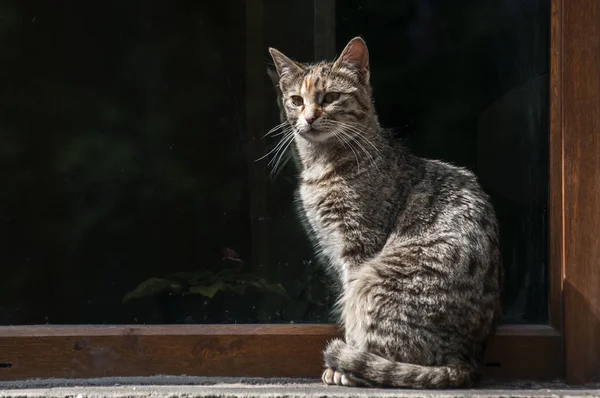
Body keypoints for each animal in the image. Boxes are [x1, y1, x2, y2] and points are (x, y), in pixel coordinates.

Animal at [266, 37, 502, 388]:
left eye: (330, 98)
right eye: (295, 100)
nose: (307, 118)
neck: (322, 165)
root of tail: (466, 360)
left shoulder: (358, 248)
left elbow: (350, 310)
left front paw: (344, 364)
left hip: (375, 280)